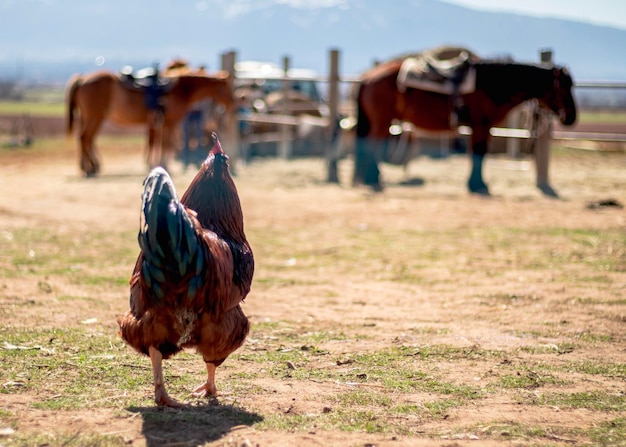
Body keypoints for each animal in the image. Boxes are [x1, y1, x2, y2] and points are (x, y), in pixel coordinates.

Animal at [65, 69, 234, 176]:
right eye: (226, 88)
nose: (233, 102)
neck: (180, 90)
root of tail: (82, 79)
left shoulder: (161, 124)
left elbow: (158, 143)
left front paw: (156, 164)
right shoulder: (169, 123)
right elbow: (165, 144)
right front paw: (163, 166)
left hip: (88, 117)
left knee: (85, 139)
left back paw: (89, 167)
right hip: (95, 117)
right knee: (85, 138)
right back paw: (90, 169)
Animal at [352, 56, 576, 194]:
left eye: (571, 85)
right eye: (563, 88)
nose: (572, 117)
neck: (490, 85)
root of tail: (367, 77)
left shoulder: (481, 126)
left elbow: (478, 152)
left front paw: (476, 184)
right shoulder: (480, 124)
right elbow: (479, 152)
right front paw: (478, 185)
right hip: (381, 122)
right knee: (371, 145)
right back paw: (374, 179)